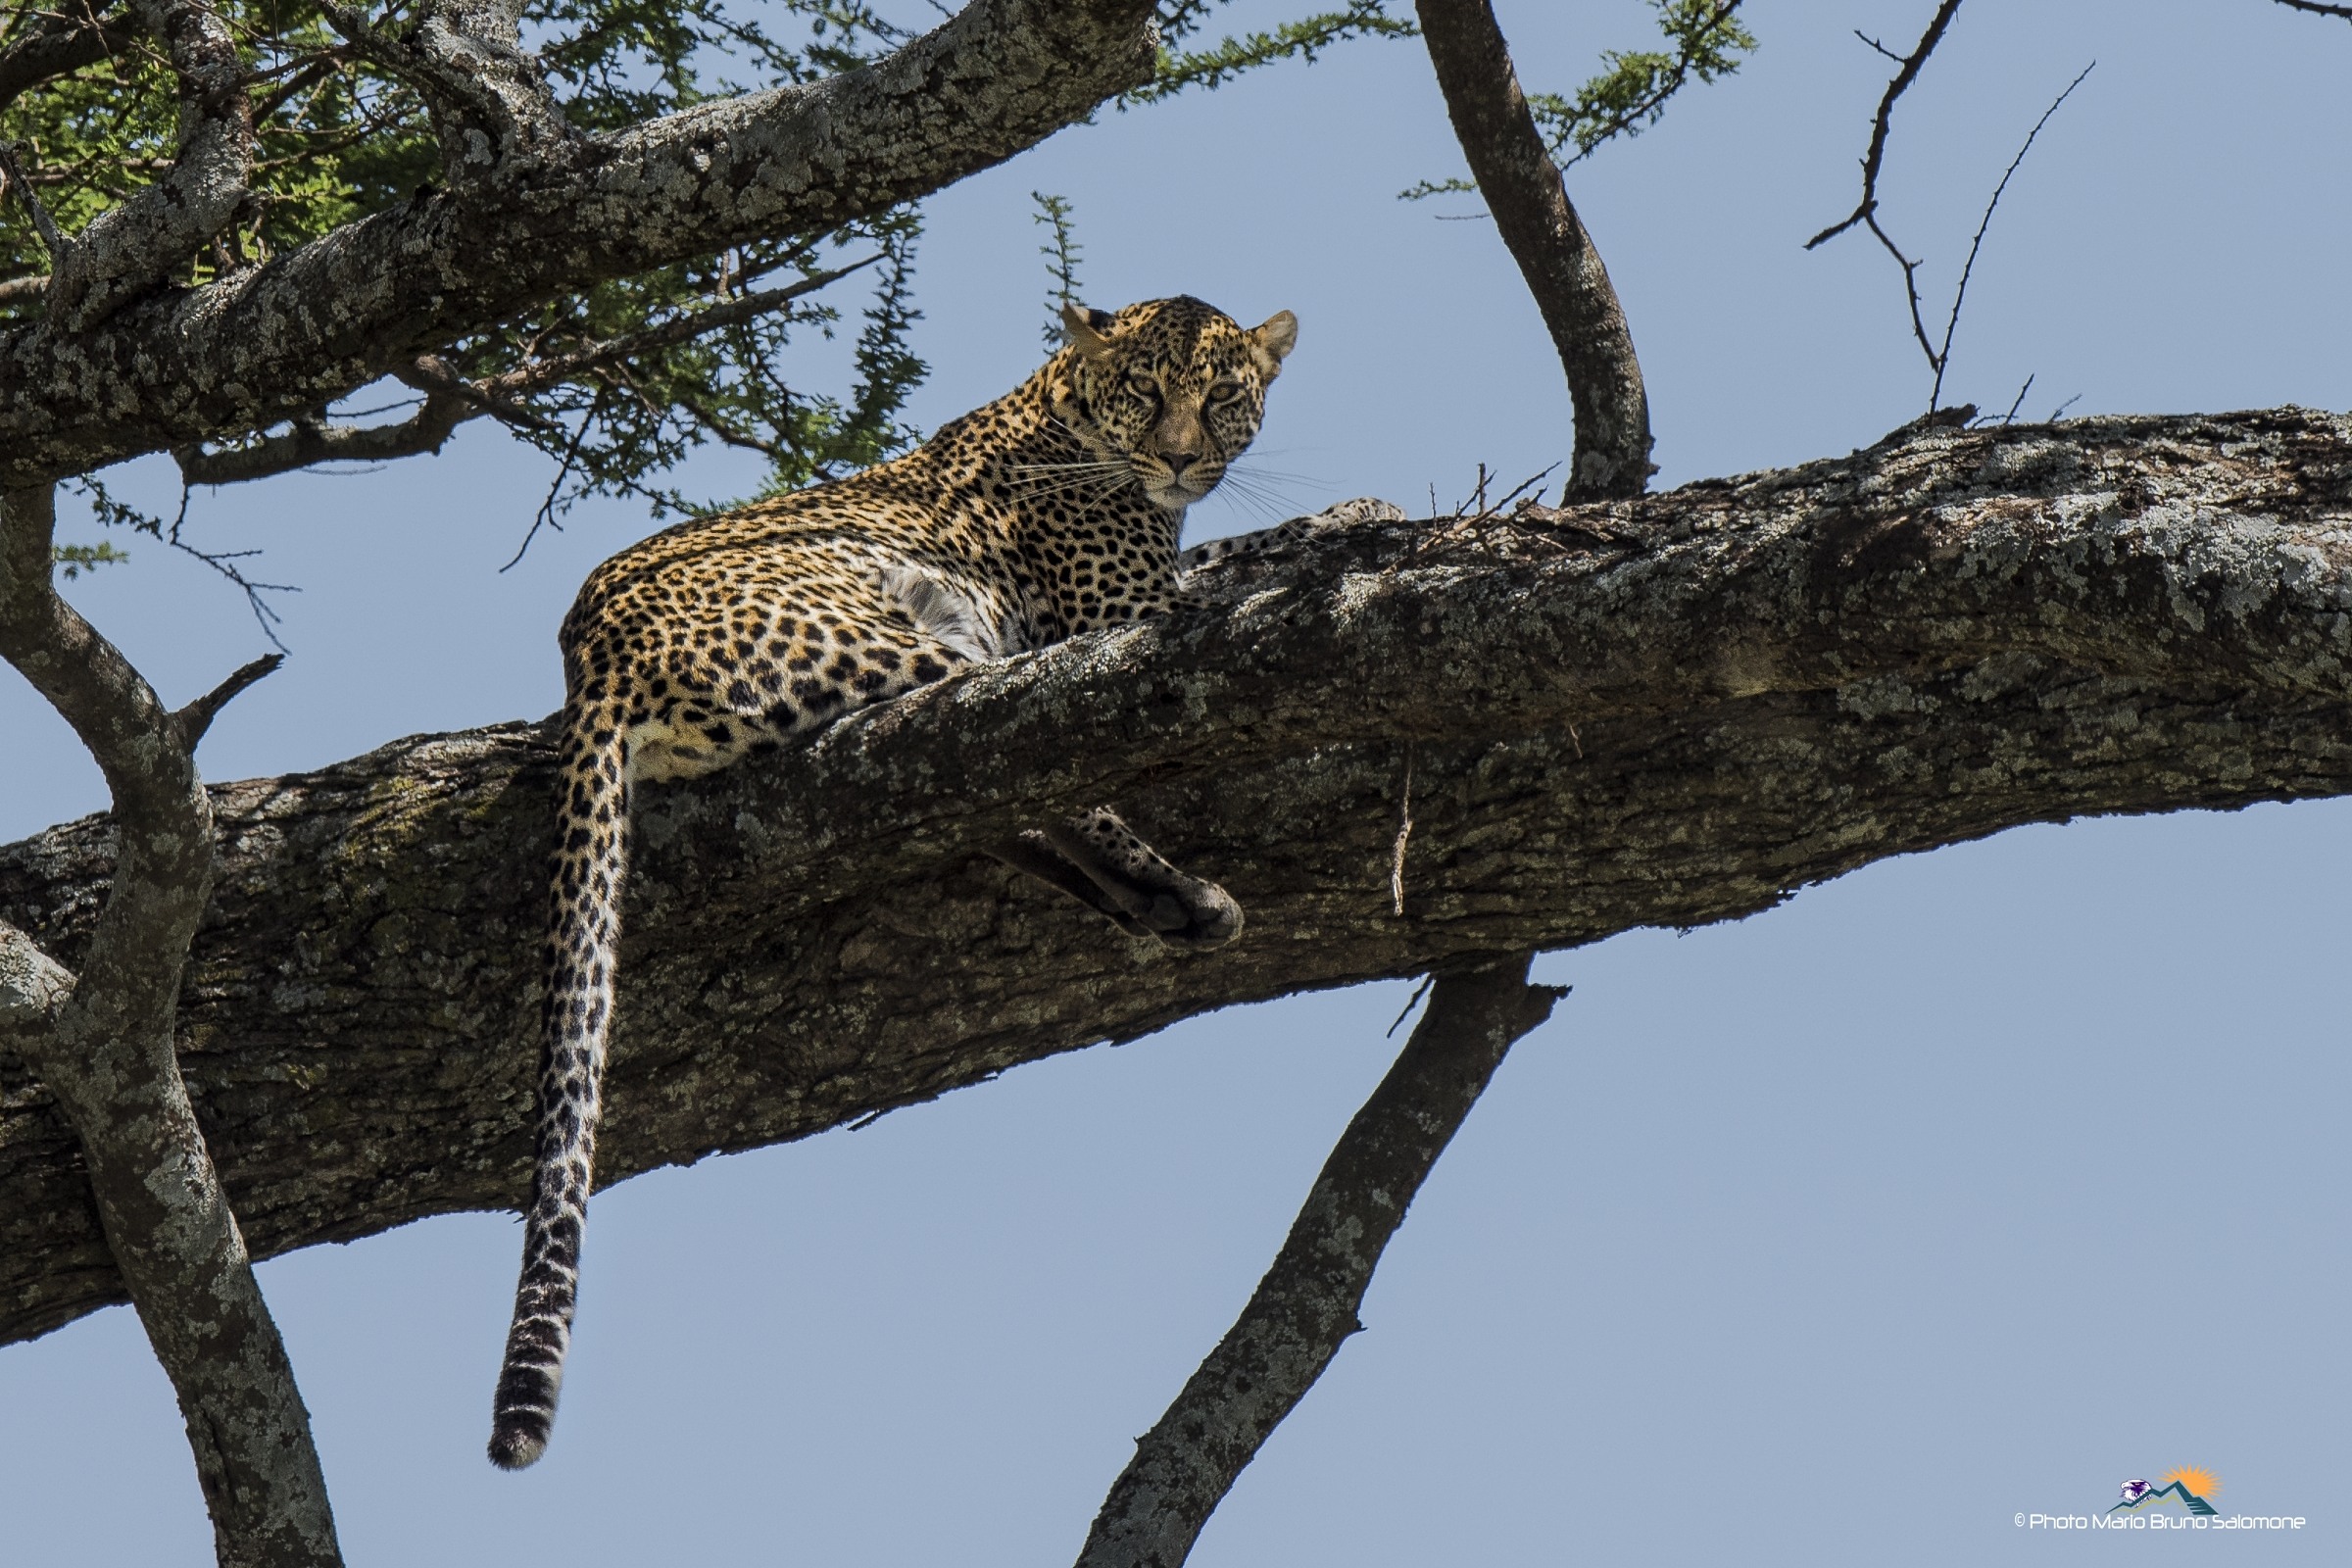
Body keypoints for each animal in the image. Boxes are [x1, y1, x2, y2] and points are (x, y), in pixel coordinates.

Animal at [488, 295, 1298, 1469]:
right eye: (1148, 392)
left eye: (1224, 394)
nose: (1185, 458)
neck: (1064, 403)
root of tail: (591, 653)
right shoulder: (1126, 615)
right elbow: (1266, 553)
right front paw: (1364, 520)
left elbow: (1248, 543)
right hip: (926, 647)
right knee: (1017, 752)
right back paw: (1184, 892)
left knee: (976, 801)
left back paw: (1160, 905)